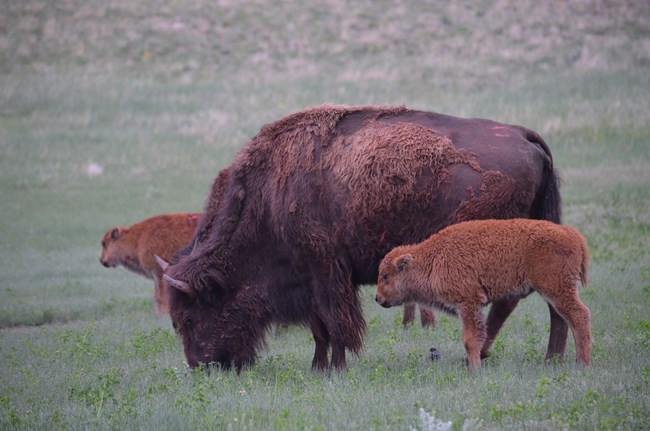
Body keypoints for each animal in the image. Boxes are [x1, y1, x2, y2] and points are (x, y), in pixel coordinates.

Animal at [162, 104, 560, 372]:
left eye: (189, 318)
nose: (202, 366)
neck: (270, 196)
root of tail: (523, 135)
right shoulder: (309, 278)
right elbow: (319, 327)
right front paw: (318, 366)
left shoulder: (326, 273)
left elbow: (336, 323)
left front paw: (336, 368)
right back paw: (549, 357)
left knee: (514, 302)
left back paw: (494, 354)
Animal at [374, 219, 588, 372]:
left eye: (385, 275)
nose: (377, 298)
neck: (433, 258)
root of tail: (572, 233)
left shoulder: (468, 303)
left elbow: (470, 339)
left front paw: (475, 369)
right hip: (554, 292)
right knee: (563, 320)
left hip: (558, 290)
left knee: (580, 316)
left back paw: (582, 364)